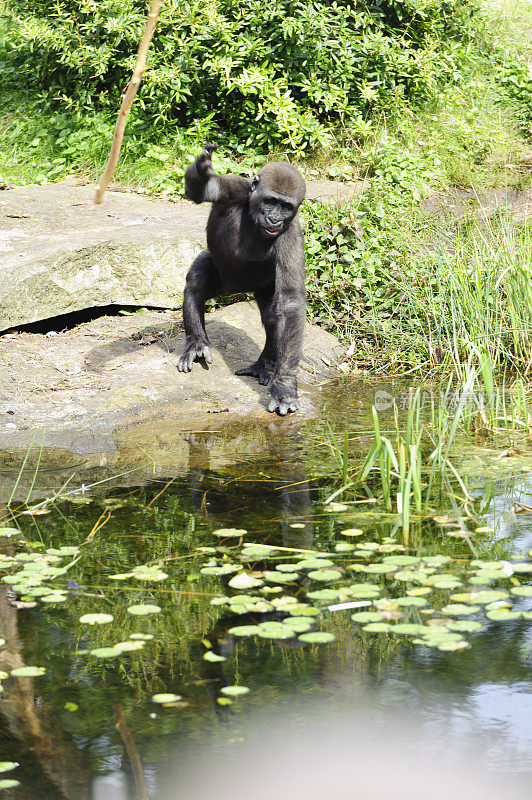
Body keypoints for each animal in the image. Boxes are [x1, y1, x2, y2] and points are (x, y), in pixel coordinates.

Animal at [178, 144, 306, 416]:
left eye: (286, 207)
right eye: (271, 201)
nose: (275, 220)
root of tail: (238, 289)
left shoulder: (292, 235)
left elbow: (290, 303)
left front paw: (285, 386)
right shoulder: (237, 189)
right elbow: (202, 191)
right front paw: (202, 171)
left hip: (261, 286)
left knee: (272, 316)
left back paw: (266, 366)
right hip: (221, 278)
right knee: (196, 283)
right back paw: (196, 344)